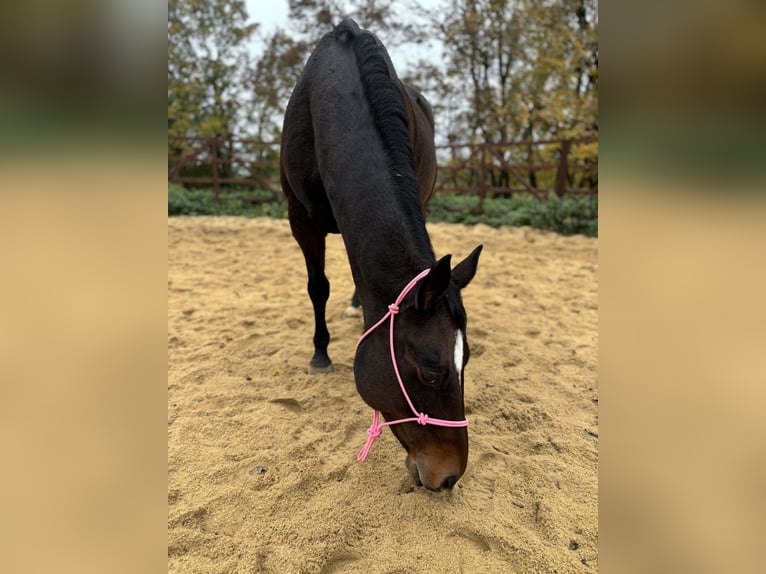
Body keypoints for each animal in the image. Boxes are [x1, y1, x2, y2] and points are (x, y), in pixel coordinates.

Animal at [280, 19, 484, 496]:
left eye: (466, 360)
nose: (449, 477)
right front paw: (320, 355)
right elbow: (318, 287)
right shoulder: (301, 220)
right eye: (430, 370)